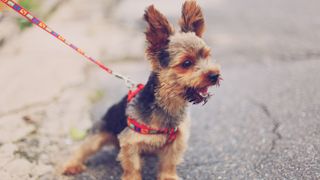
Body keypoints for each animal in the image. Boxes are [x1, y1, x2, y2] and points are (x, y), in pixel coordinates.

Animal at [61, 0, 221, 179]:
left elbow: (169, 163)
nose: (214, 75)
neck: (168, 103)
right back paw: (72, 165)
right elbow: (133, 166)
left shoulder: (177, 141)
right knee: (83, 148)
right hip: (100, 132)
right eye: (186, 63)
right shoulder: (130, 142)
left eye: (207, 56)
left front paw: (168, 176)